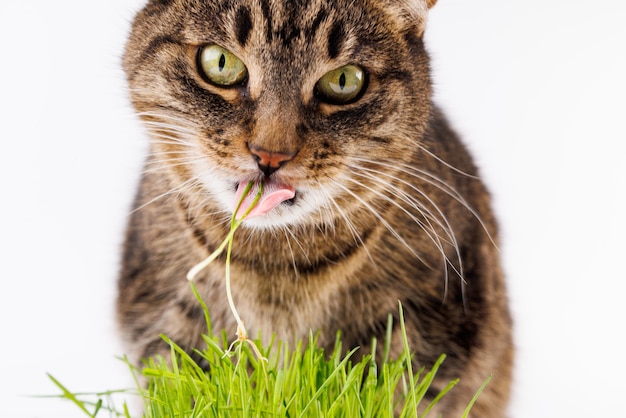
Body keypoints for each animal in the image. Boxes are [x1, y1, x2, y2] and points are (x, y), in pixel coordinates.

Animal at [117, 0, 512, 414]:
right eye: (220, 63)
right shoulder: (164, 322)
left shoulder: (420, 329)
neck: (275, 267)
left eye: (344, 81)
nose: (270, 154)